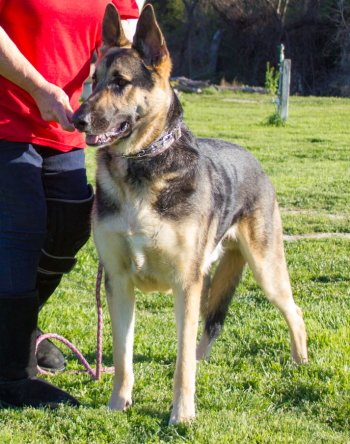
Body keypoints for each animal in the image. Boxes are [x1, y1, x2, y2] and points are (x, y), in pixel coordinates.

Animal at [72, 3, 308, 424]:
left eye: (120, 82)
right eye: (94, 81)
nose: (75, 119)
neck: (143, 167)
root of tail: (254, 161)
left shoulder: (185, 283)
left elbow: (180, 364)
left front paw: (181, 415)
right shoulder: (119, 283)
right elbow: (123, 354)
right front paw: (118, 404)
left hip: (264, 271)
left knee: (292, 311)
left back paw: (301, 363)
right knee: (206, 329)